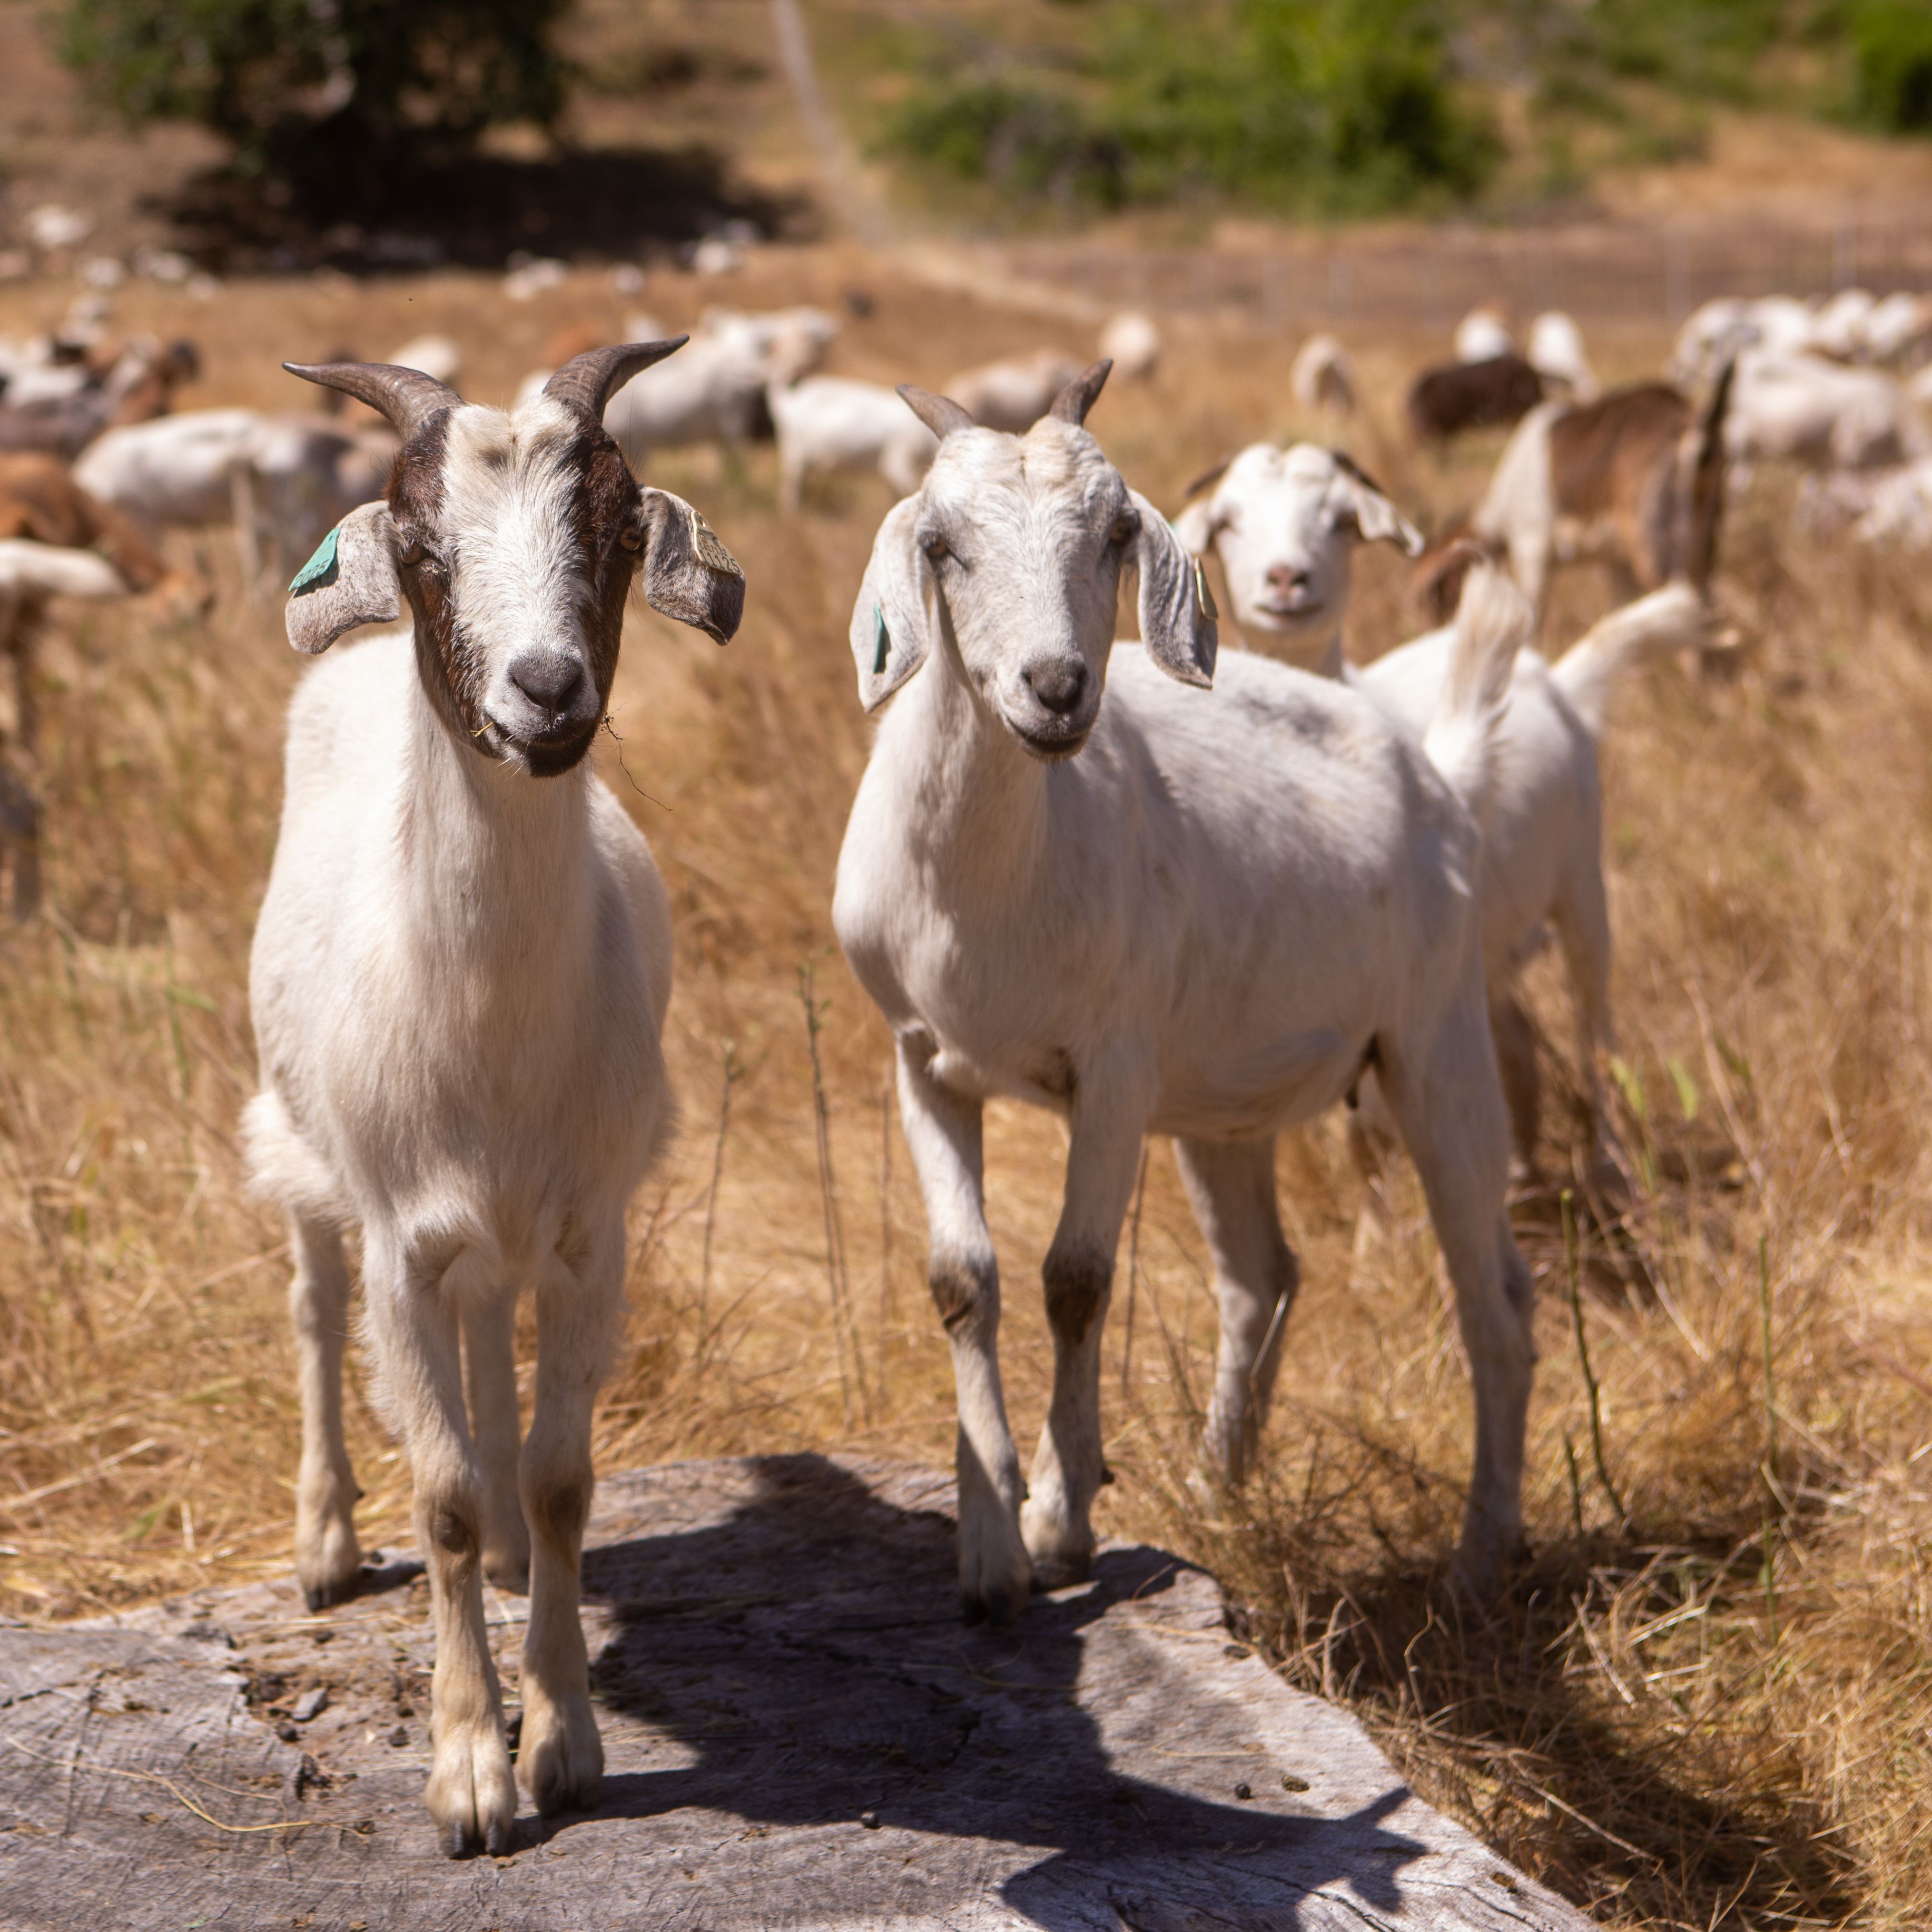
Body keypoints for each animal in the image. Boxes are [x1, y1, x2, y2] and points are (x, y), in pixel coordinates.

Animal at [242, 343, 744, 1856]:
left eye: (621, 529)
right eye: (421, 547)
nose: (545, 690)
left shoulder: (591, 1235)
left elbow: (559, 1477)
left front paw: (564, 1740)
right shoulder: (401, 1241)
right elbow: (447, 1493)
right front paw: (470, 1772)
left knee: (487, 1341)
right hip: (298, 1139)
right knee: (314, 1306)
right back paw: (326, 1543)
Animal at [832, 363, 1536, 1624]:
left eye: (1116, 532)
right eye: (940, 542)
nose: (1056, 689)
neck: (983, 895)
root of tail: (1432, 769)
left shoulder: (1112, 1070)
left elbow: (1074, 1277)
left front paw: (1061, 1523)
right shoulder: (922, 1062)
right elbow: (964, 1280)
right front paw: (989, 1553)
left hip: (1437, 1034)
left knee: (1493, 1300)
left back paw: (1476, 1558)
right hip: (1221, 1101)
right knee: (1260, 1279)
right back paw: (1217, 1487)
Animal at [1175, 442, 1708, 1187]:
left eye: (1341, 520)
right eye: (1227, 522)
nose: (1286, 579)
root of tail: (1558, 676)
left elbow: (1372, 1123)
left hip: (1581, 886)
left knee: (1593, 1027)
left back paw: (1608, 1162)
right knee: (1512, 1037)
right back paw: (1518, 1167)